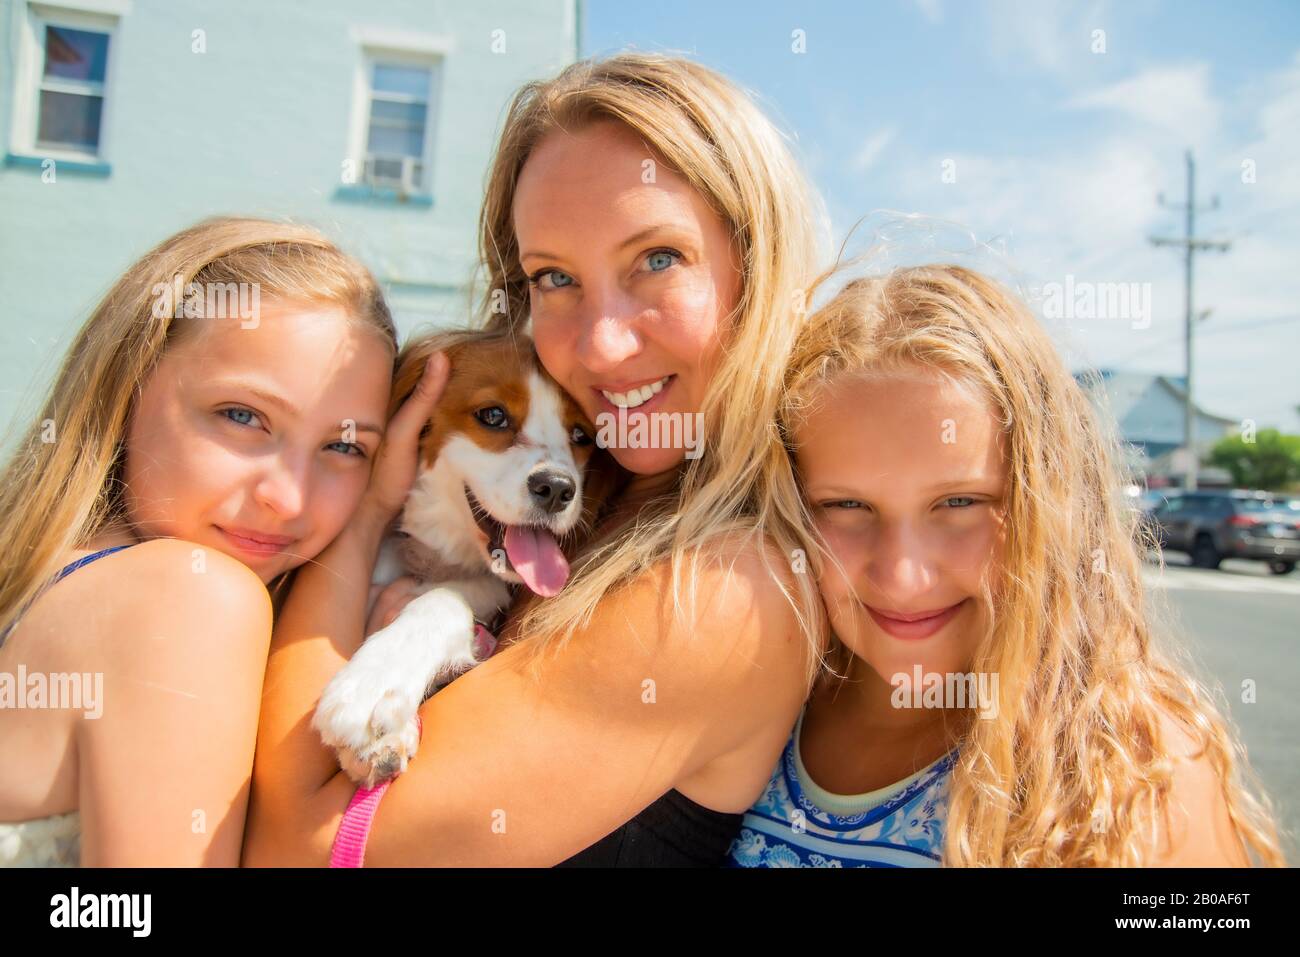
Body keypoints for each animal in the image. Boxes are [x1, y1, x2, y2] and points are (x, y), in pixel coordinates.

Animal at [312, 328, 621, 785]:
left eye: (581, 435)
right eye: (493, 415)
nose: (557, 488)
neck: (441, 554)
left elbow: (443, 599)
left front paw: (377, 679)